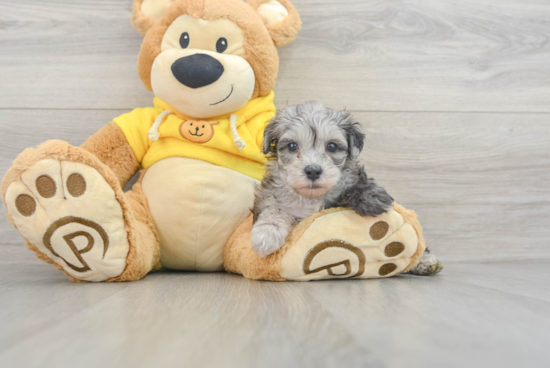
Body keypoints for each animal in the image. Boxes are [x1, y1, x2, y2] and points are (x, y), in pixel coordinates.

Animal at [250, 100, 396, 256]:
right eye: (292, 146)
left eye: (332, 146)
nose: (313, 171)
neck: (310, 198)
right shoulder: (269, 198)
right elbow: (274, 209)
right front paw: (267, 232)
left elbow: (357, 186)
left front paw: (372, 198)